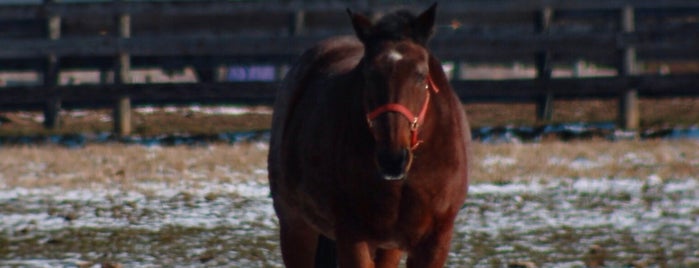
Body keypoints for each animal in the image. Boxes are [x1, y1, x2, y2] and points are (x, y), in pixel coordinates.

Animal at [268, 4, 470, 268]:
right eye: (369, 73)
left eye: (420, 74)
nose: (393, 159)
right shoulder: (353, 236)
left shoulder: (435, 240)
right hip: (296, 227)